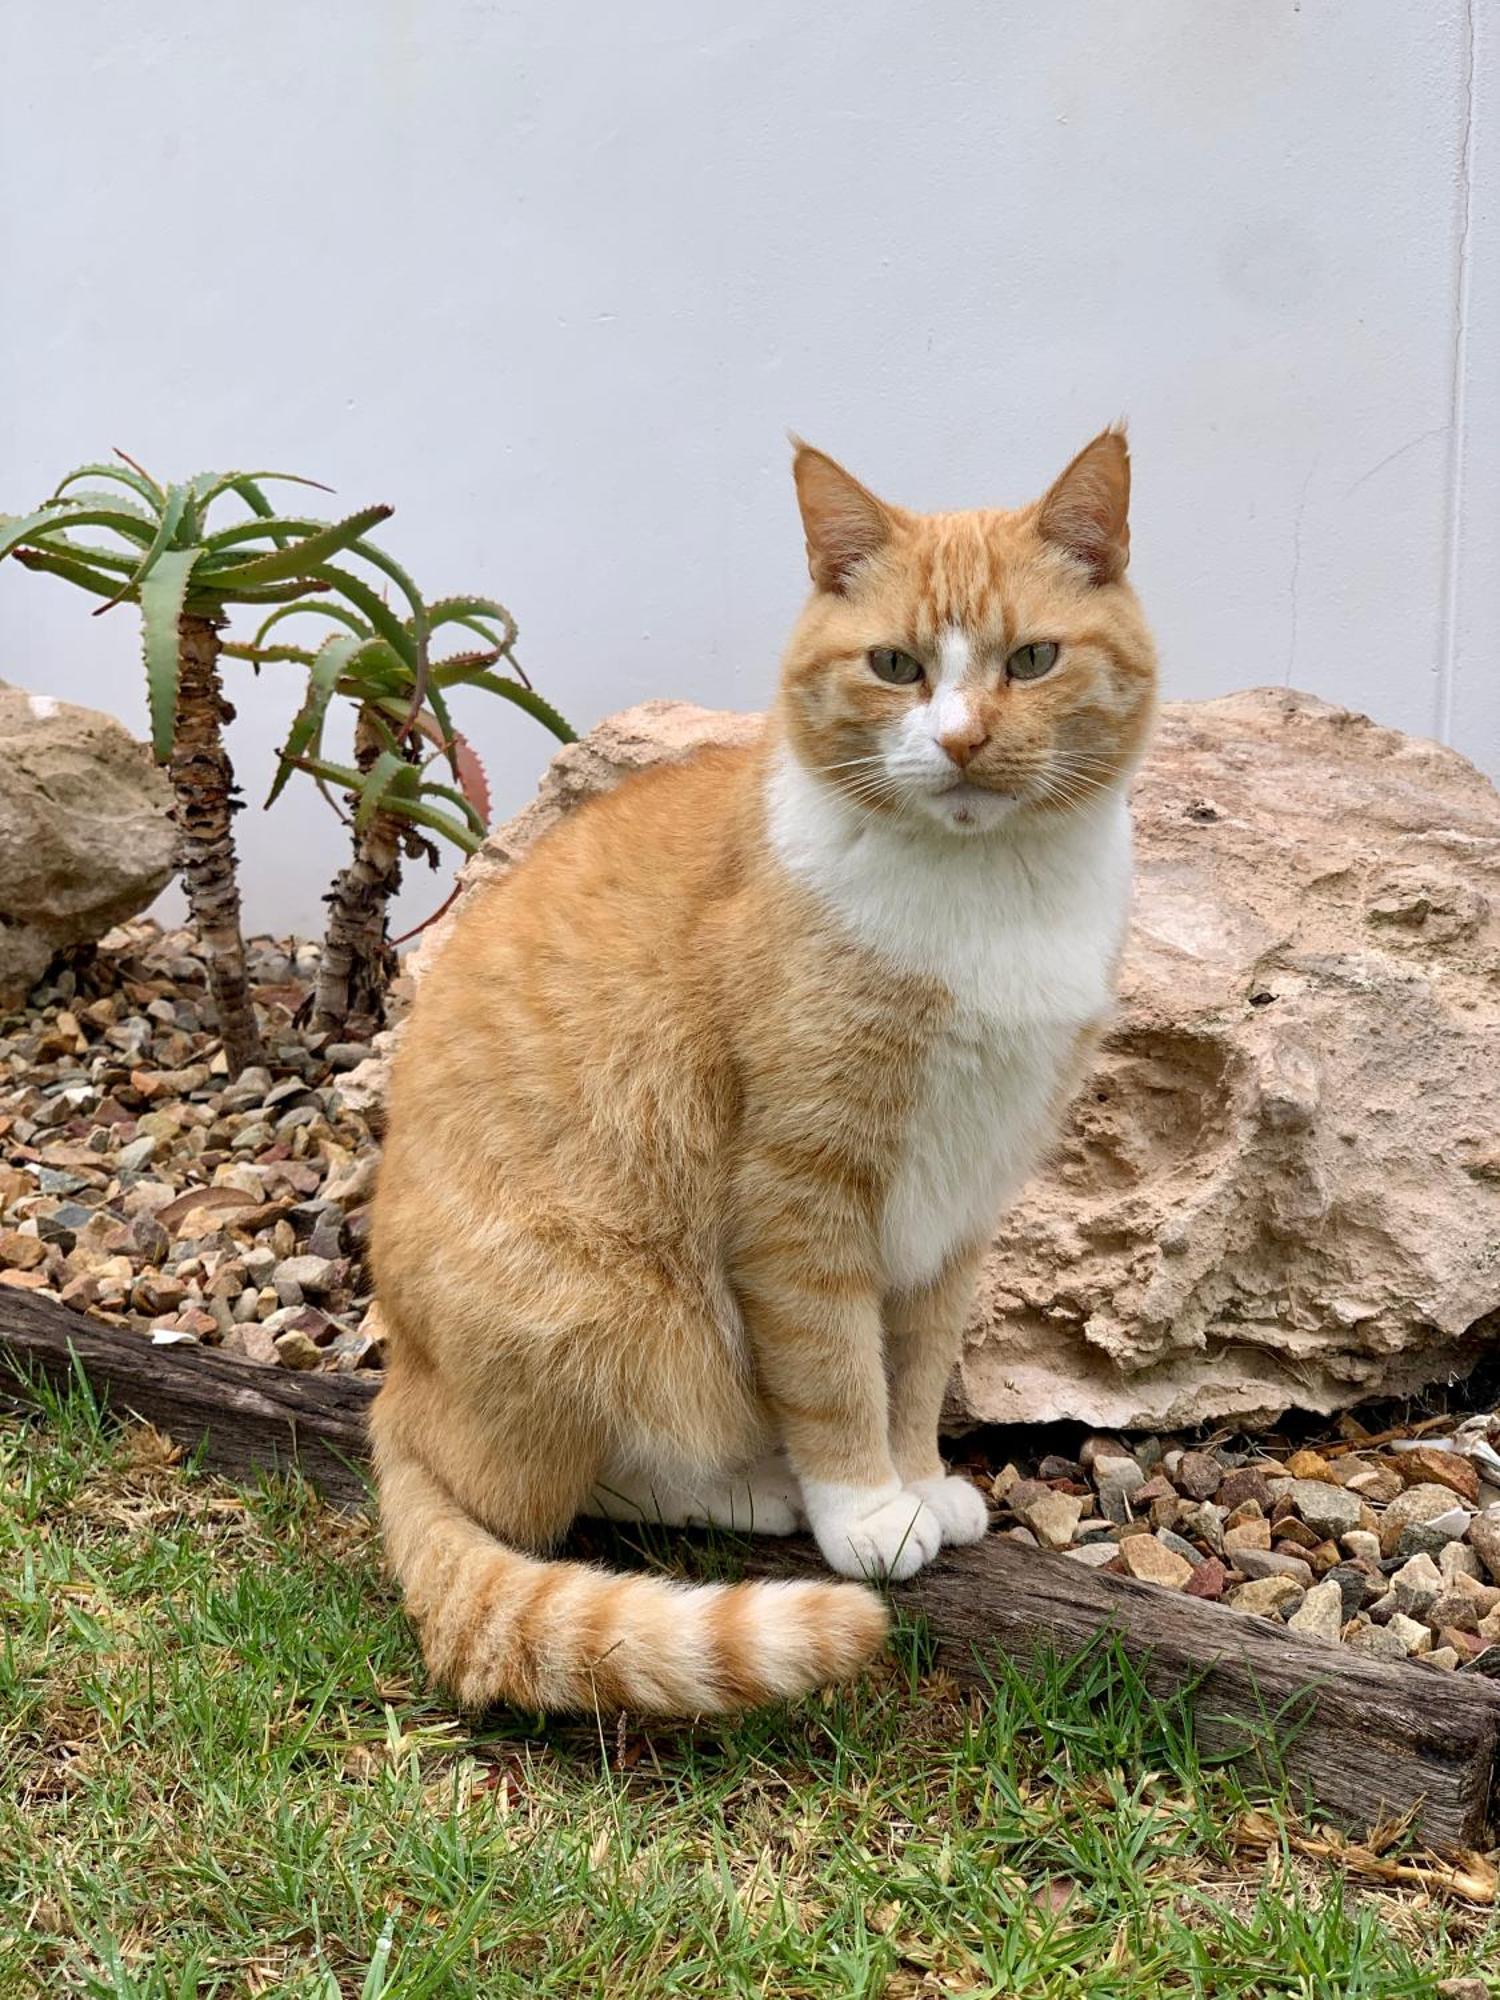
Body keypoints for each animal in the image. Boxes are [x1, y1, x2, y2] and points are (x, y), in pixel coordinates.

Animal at [374, 434, 1160, 1720]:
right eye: (896, 666)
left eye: (1032, 660)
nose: (960, 740)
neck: (989, 893)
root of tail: (398, 1383)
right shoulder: (803, 1188)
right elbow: (835, 1367)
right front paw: (866, 1506)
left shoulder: (964, 1196)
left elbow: (917, 1365)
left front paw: (918, 1472)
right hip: (607, 1305)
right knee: (553, 1494)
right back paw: (762, 1486)